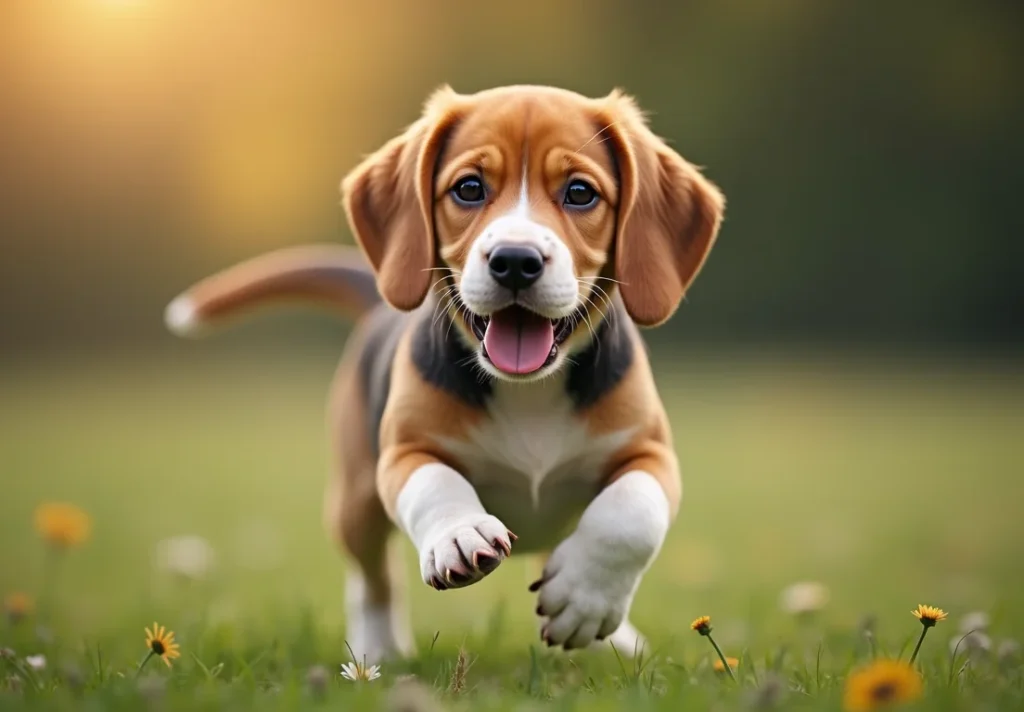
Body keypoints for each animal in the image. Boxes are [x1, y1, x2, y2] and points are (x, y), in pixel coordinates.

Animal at [165, 83, 720, 663]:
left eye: (580, 193)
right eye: (469, 188)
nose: (515, 259)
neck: (529, 392)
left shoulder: (651, 453)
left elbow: (630, 514)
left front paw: (585, 598)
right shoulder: (403, 453)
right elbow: (436, 482)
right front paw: (460, 533)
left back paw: (613, 640)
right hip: (356, 501)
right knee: (372, 580)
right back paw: (375, 653)